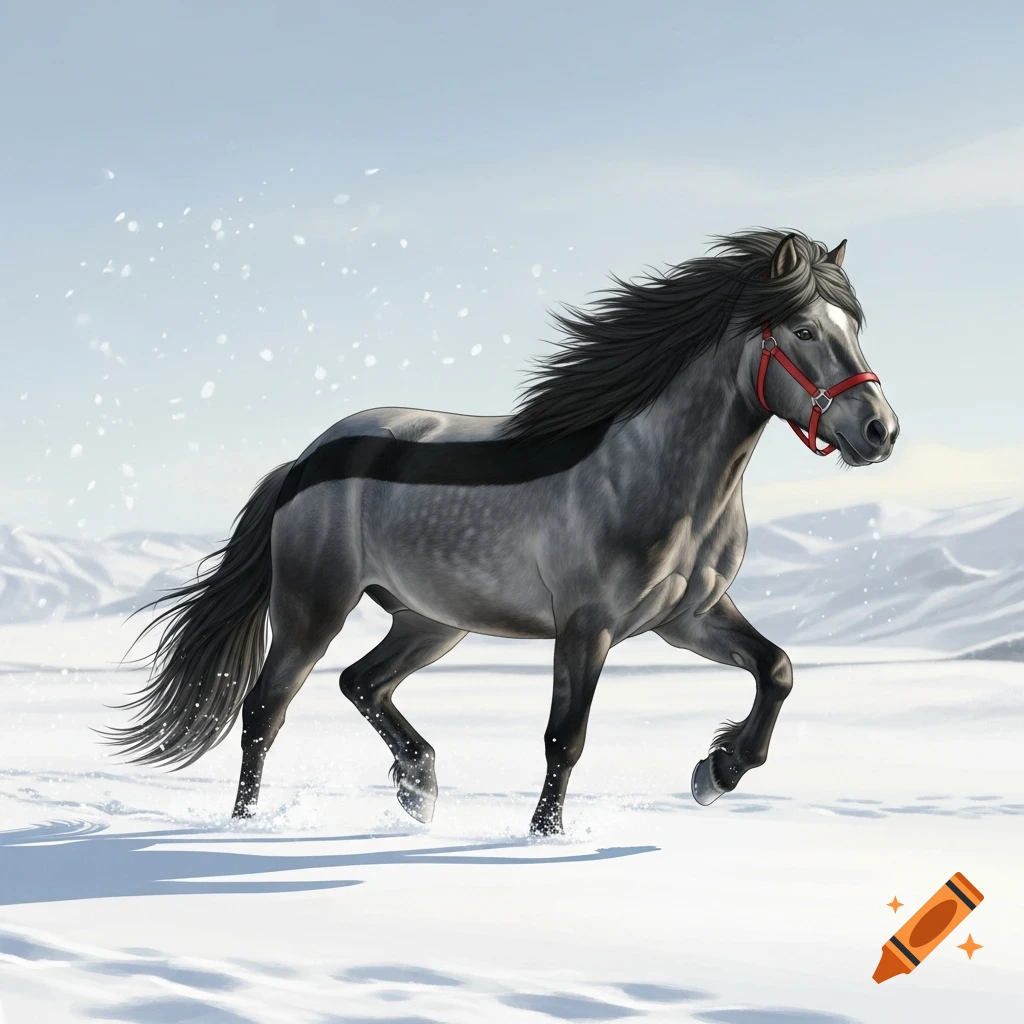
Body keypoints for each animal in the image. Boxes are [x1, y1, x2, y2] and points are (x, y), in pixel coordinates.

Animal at [108, 229, 898, 834]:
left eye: (856, 327)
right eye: (804, 330)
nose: (879, 431)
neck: (654, 470)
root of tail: (306, 460)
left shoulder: (688, 617)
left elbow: (778, 669)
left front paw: (716, 771)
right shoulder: (586, 626)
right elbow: (565, 738)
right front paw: (543, 837)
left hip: (431, 620)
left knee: (361, 682)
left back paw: (419, 789)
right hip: (314, 610)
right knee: (266, 709)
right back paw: (246, 825)